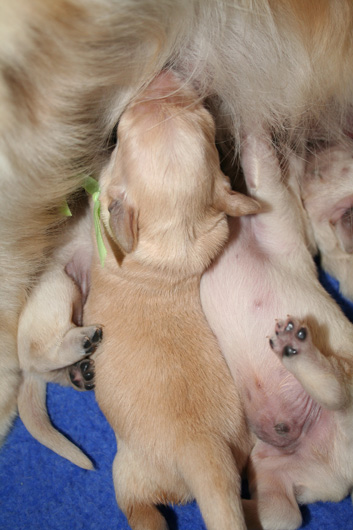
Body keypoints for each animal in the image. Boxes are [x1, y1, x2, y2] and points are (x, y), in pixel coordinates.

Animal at [82, 71, 258, 528]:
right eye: (206, 120)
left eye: (122, 132)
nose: (166, 73)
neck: (176, 234)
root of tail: (204, 453)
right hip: (242, 447)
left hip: (129, 472)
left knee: (141, 511)